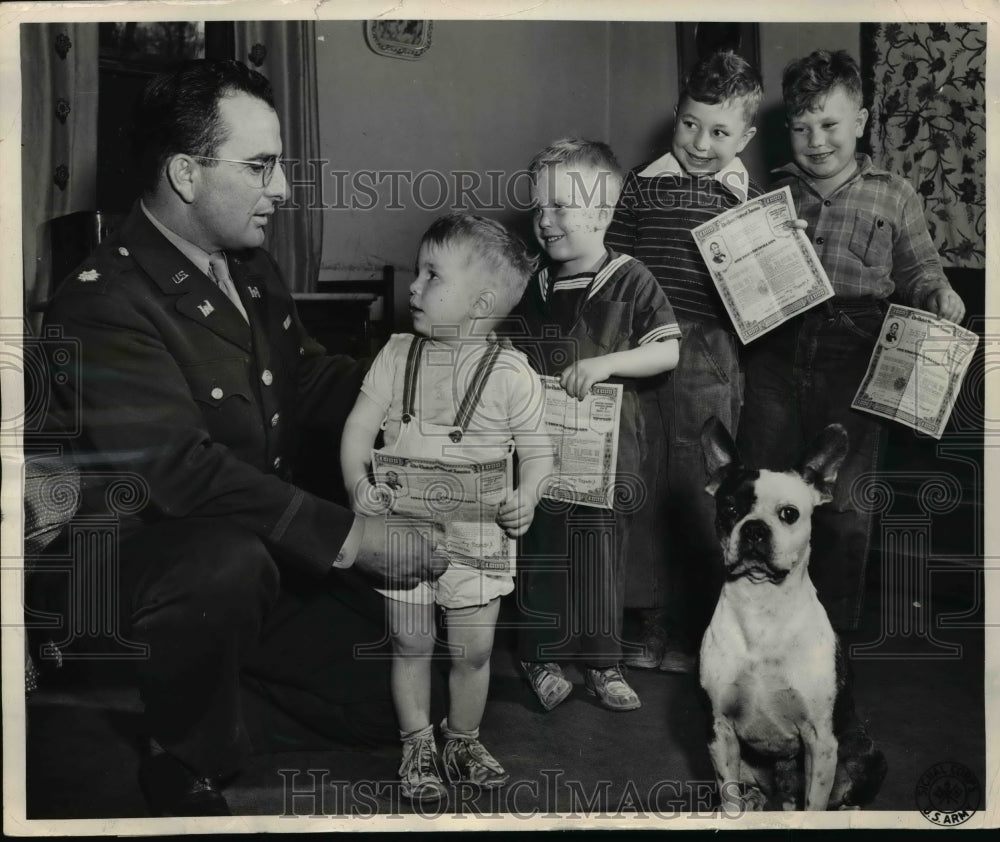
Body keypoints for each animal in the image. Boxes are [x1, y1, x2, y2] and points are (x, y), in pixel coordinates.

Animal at [700, 416, 888, 812]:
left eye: (789, 514)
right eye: (729, 510)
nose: (754, 528)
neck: (762, 607)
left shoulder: (821, 741)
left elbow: (814, 805)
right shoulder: (719, 731)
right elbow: (729, 797)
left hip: (864, 752)